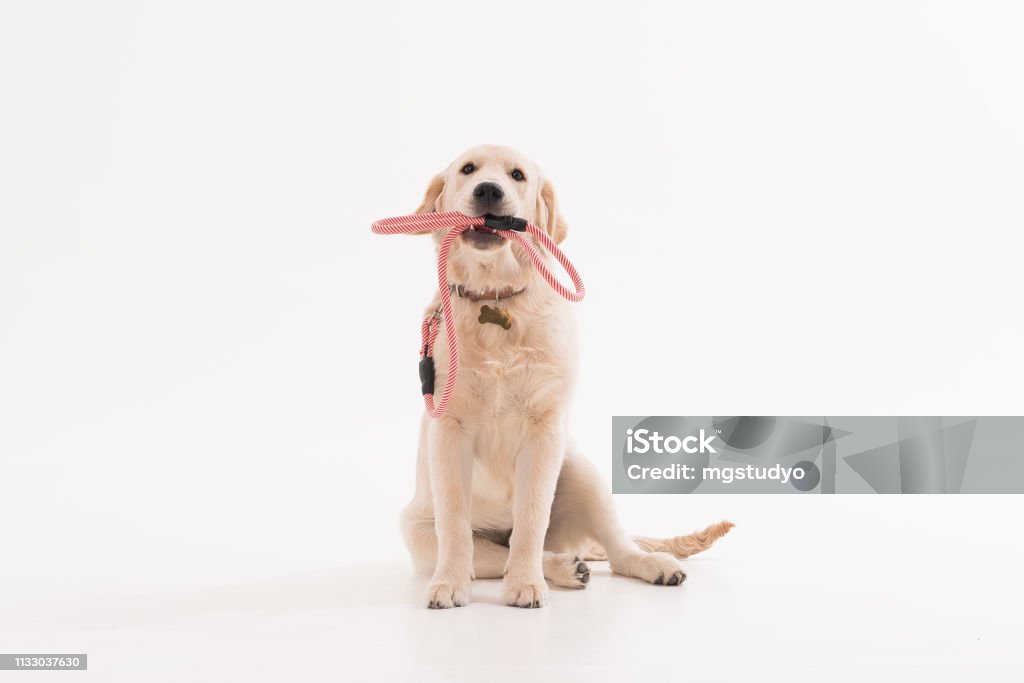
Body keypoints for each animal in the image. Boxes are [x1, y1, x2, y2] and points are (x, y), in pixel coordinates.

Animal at [397, 145, 729, 610]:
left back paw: (646, 564)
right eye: (468, 170)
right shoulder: (447, 430)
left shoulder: (545, 429)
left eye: (517, 175)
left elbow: (532, 518)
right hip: (416, 531)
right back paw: (565, 568)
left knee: (615, 548)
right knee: (498, 550)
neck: (496, 298)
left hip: (581, 470)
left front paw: (525, 583)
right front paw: (450, 583)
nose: (488, 190)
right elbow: (455, 524)